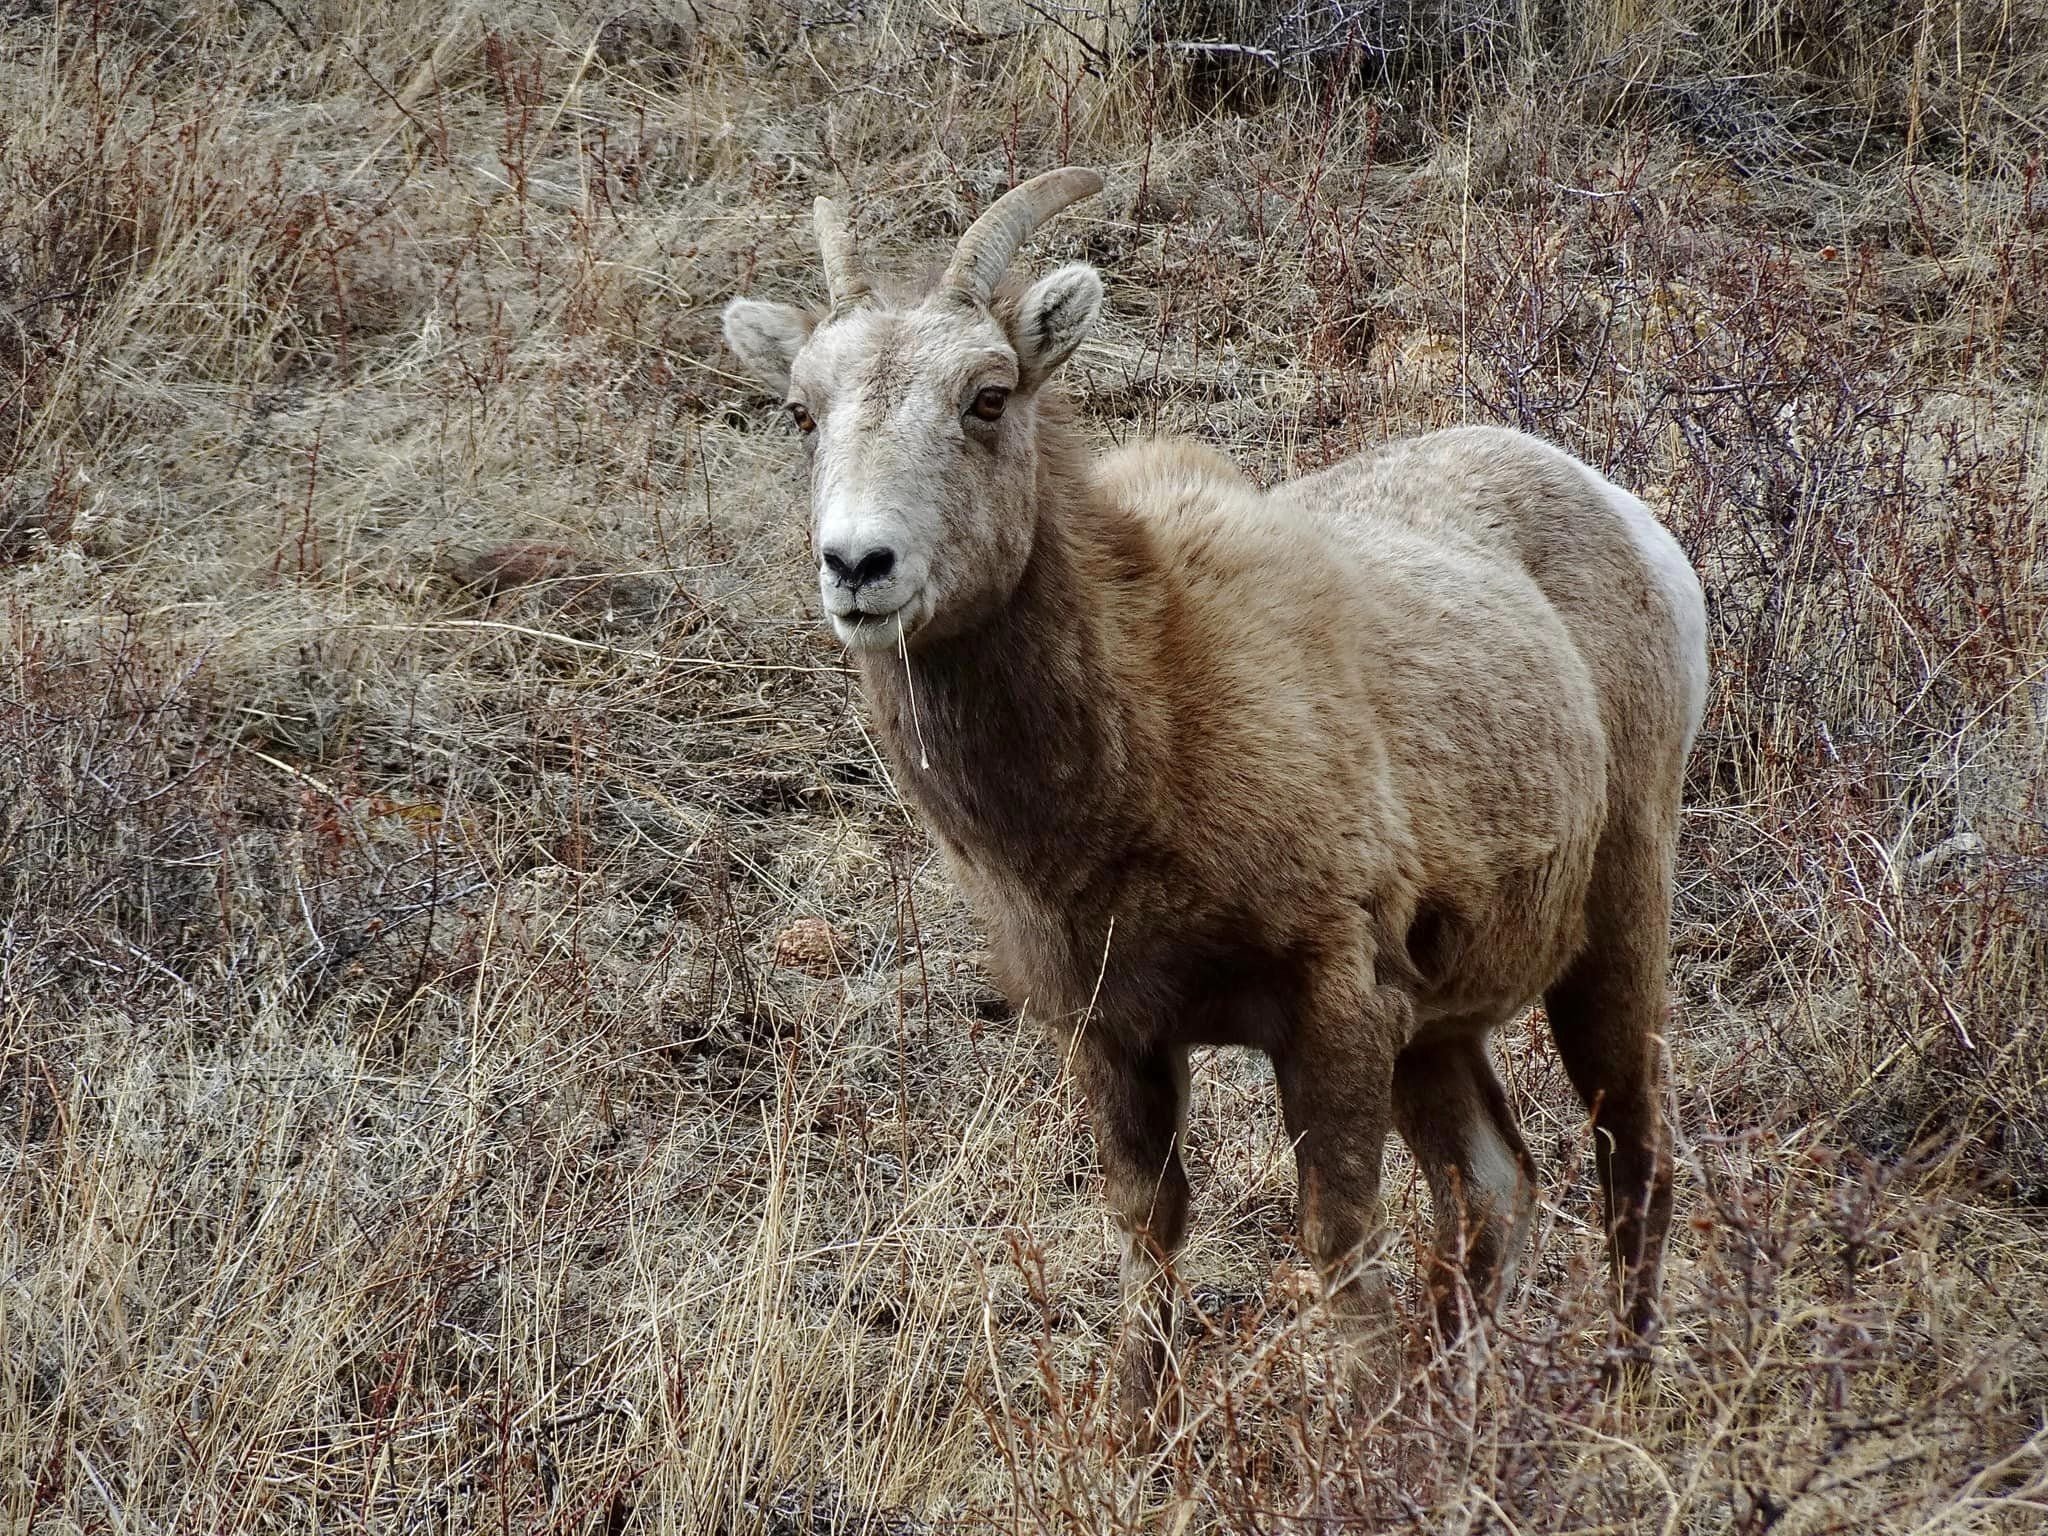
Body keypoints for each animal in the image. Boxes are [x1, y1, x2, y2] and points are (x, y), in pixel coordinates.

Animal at [722, 168, 1709, 1433]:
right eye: (802, 411)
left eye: (987, 397)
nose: (858, 566)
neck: (1149, 749)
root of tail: (1628, 518)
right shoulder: (1115, 1035)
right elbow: (1149, 1234)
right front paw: (1132, 1432)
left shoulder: (1331, 1006)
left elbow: (1334, 1241)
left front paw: (1361, 1440)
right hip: (1441, 1028)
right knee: (1494, 1191)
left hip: (1617, 926)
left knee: (1632, 1159)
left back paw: (1620, 1408)